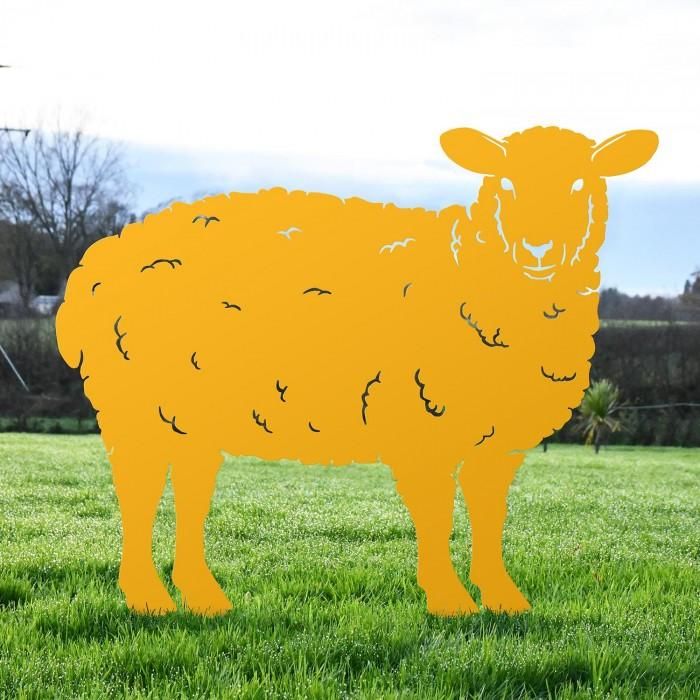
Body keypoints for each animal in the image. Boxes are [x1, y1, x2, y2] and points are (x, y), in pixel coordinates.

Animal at [55, 126, 658, 617]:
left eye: (582, 183)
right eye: (505, 183)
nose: (539, 249)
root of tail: (97, 262)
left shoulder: (497, 442)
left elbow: (490, 518)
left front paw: (503, 600)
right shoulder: (420, 420)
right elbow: (437, 517)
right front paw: (449, 601)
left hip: (184, 415)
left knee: (188, 491)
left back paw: (202, 598)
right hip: (134, 406)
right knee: (139, 495)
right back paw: (148, 598)